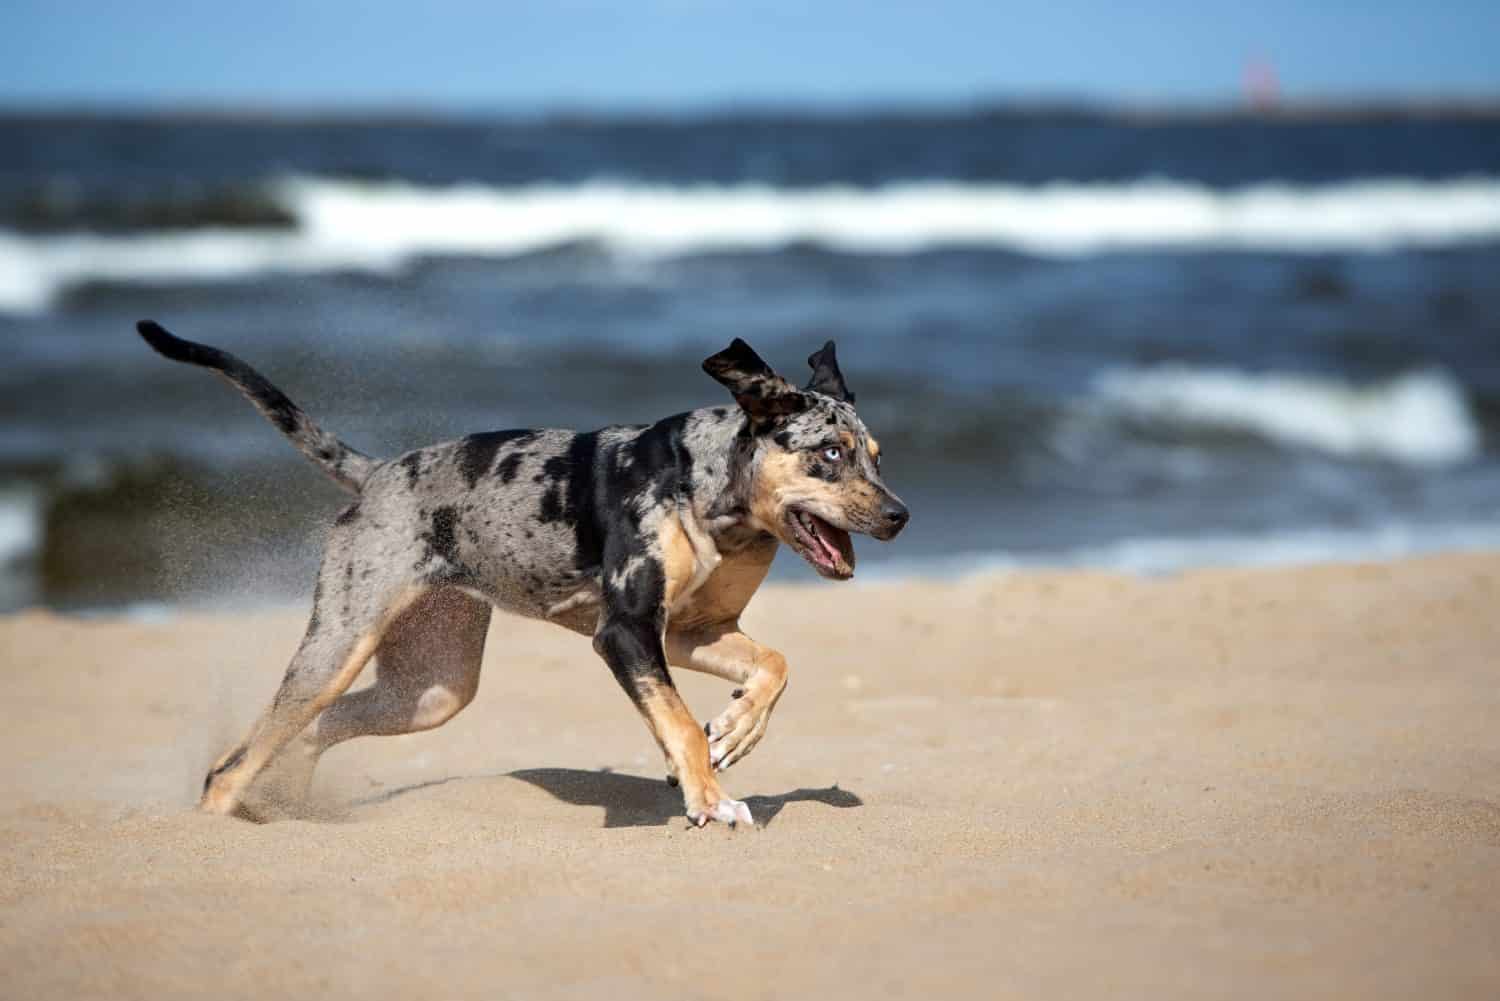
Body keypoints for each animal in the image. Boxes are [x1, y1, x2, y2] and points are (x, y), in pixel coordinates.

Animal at [135, 322, 906, 828]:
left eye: (875, 455)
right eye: (830, 453)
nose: (900, 516)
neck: (712, 496)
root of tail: (377, 473)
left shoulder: (692, 631)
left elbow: (773, 666)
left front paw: (737, 731)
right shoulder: (626, 632)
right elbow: (681, 723)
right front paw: (709, 797)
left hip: (433, 688)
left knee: (311, 731)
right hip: (339, 644)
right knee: (233, 765)